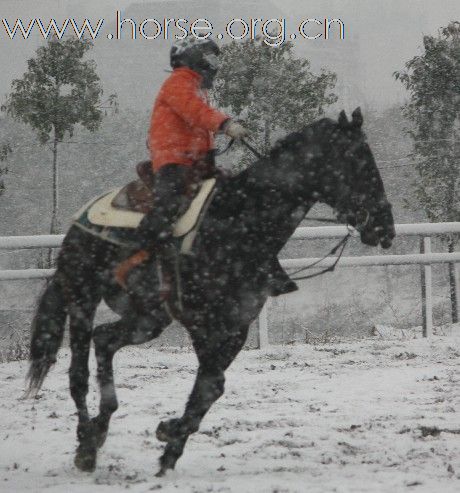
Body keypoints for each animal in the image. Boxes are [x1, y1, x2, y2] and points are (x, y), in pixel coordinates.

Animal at [27, 108, 396, 476]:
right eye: (358, 160)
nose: (385, 227)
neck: (239, 223)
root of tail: (80, 221)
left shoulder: (236, 326)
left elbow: (210, 387)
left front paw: (170, 447)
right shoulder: (203, 322)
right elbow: (211, 384)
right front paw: (169, 437)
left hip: (148, 318)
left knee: (104, 339)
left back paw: (100, 428)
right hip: (82, 297)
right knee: (78, 373)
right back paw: (86, 444)